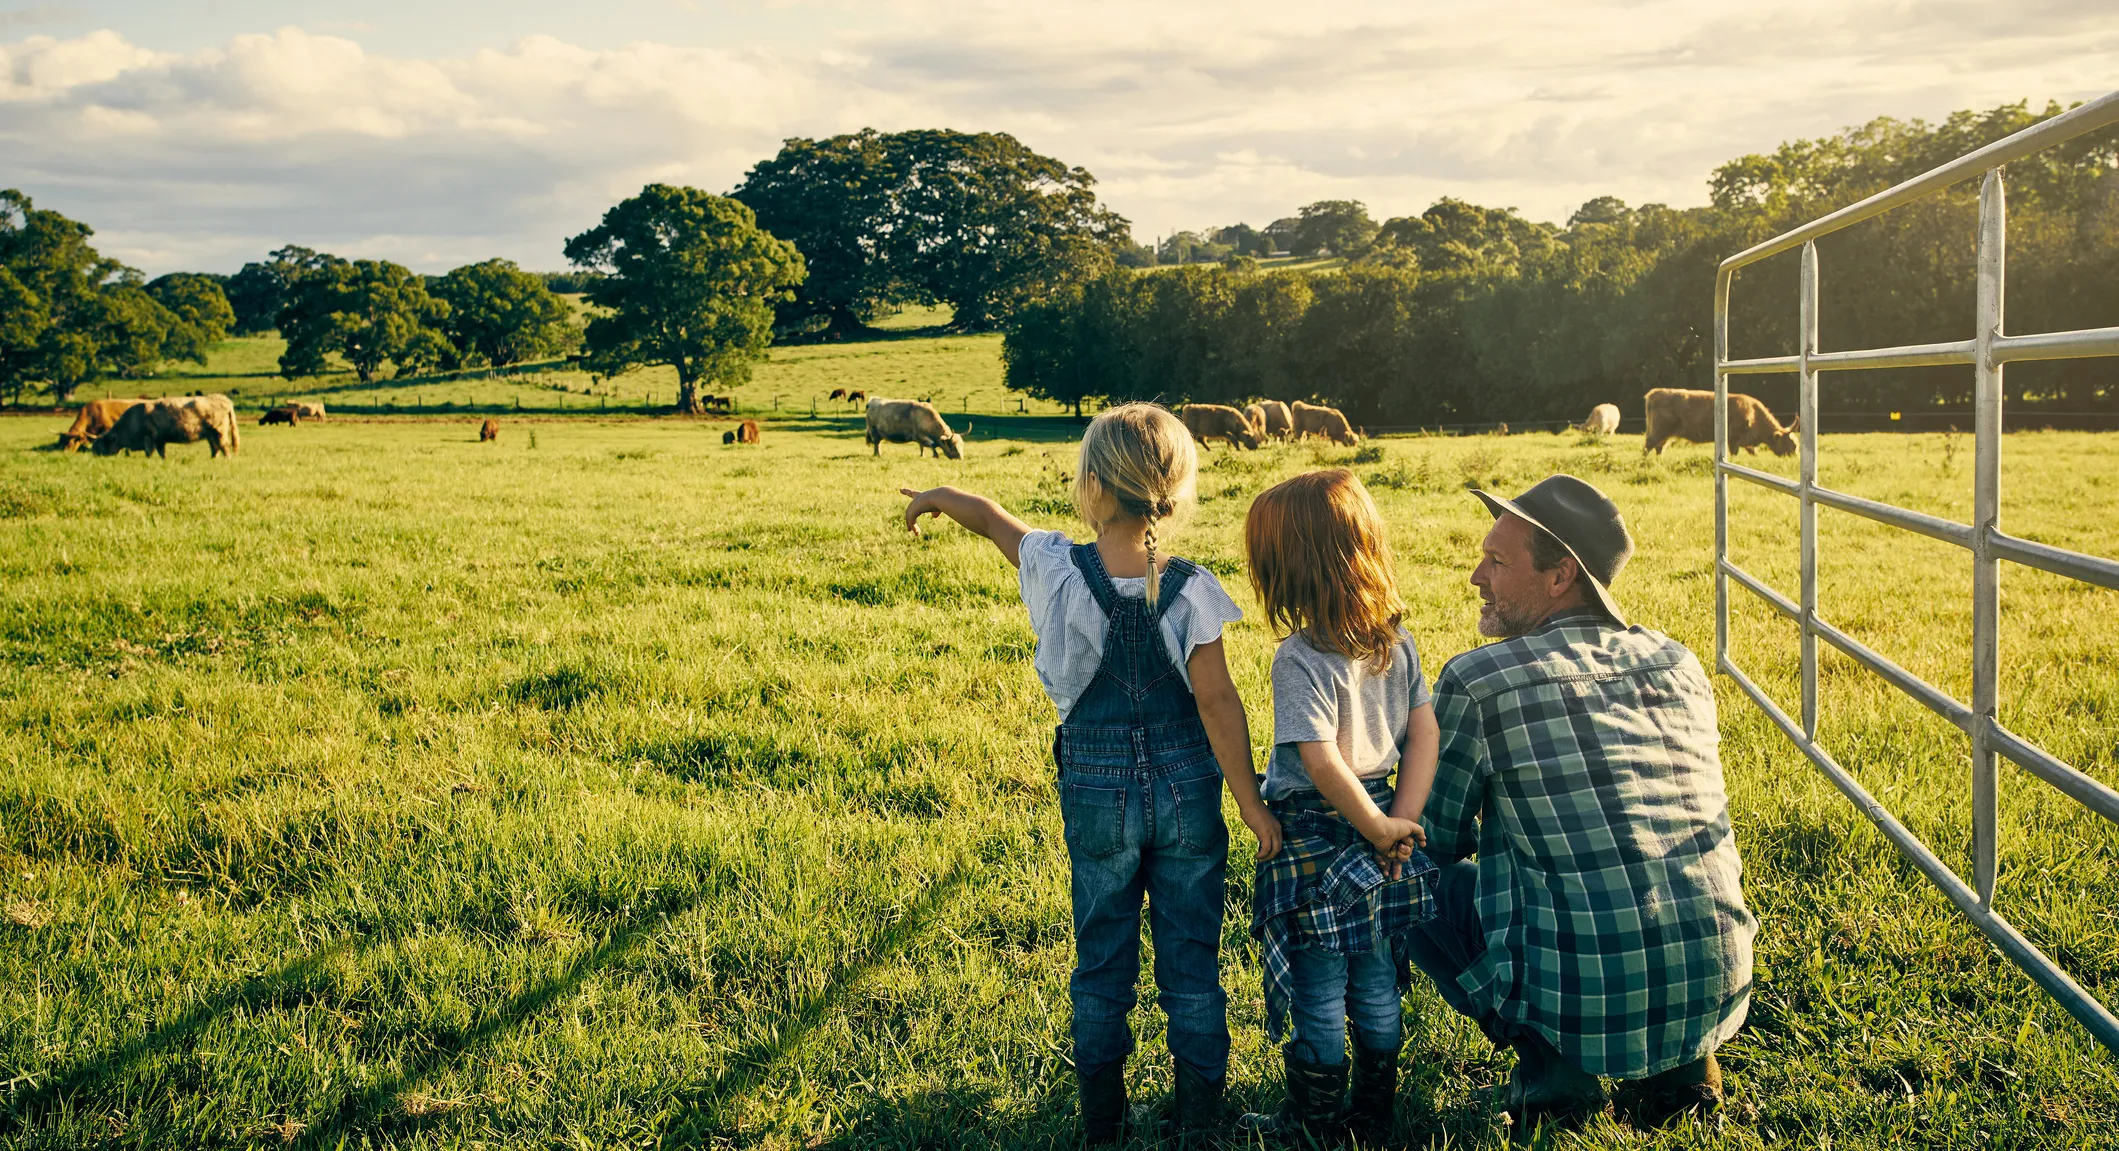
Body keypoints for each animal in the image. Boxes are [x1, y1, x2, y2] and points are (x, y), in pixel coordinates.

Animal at [92, 396, 239, 459]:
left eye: (99, 445)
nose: (94, 455)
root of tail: (223, 399)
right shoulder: (160, 440)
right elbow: (162, 453)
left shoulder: (149, 437)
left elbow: (149, 452)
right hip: (210, 435)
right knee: (215, 448)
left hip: (219, 432)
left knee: (224, 446)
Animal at [1635, 390, 1788, 457]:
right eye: (1789, 443)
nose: (1792, 454)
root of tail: (1654, 393)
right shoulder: (1734, 439)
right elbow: (1735, 453)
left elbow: (1753, 452)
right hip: (1658, 430)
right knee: (1648, 447)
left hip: (1664, 433)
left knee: (1659, 447)